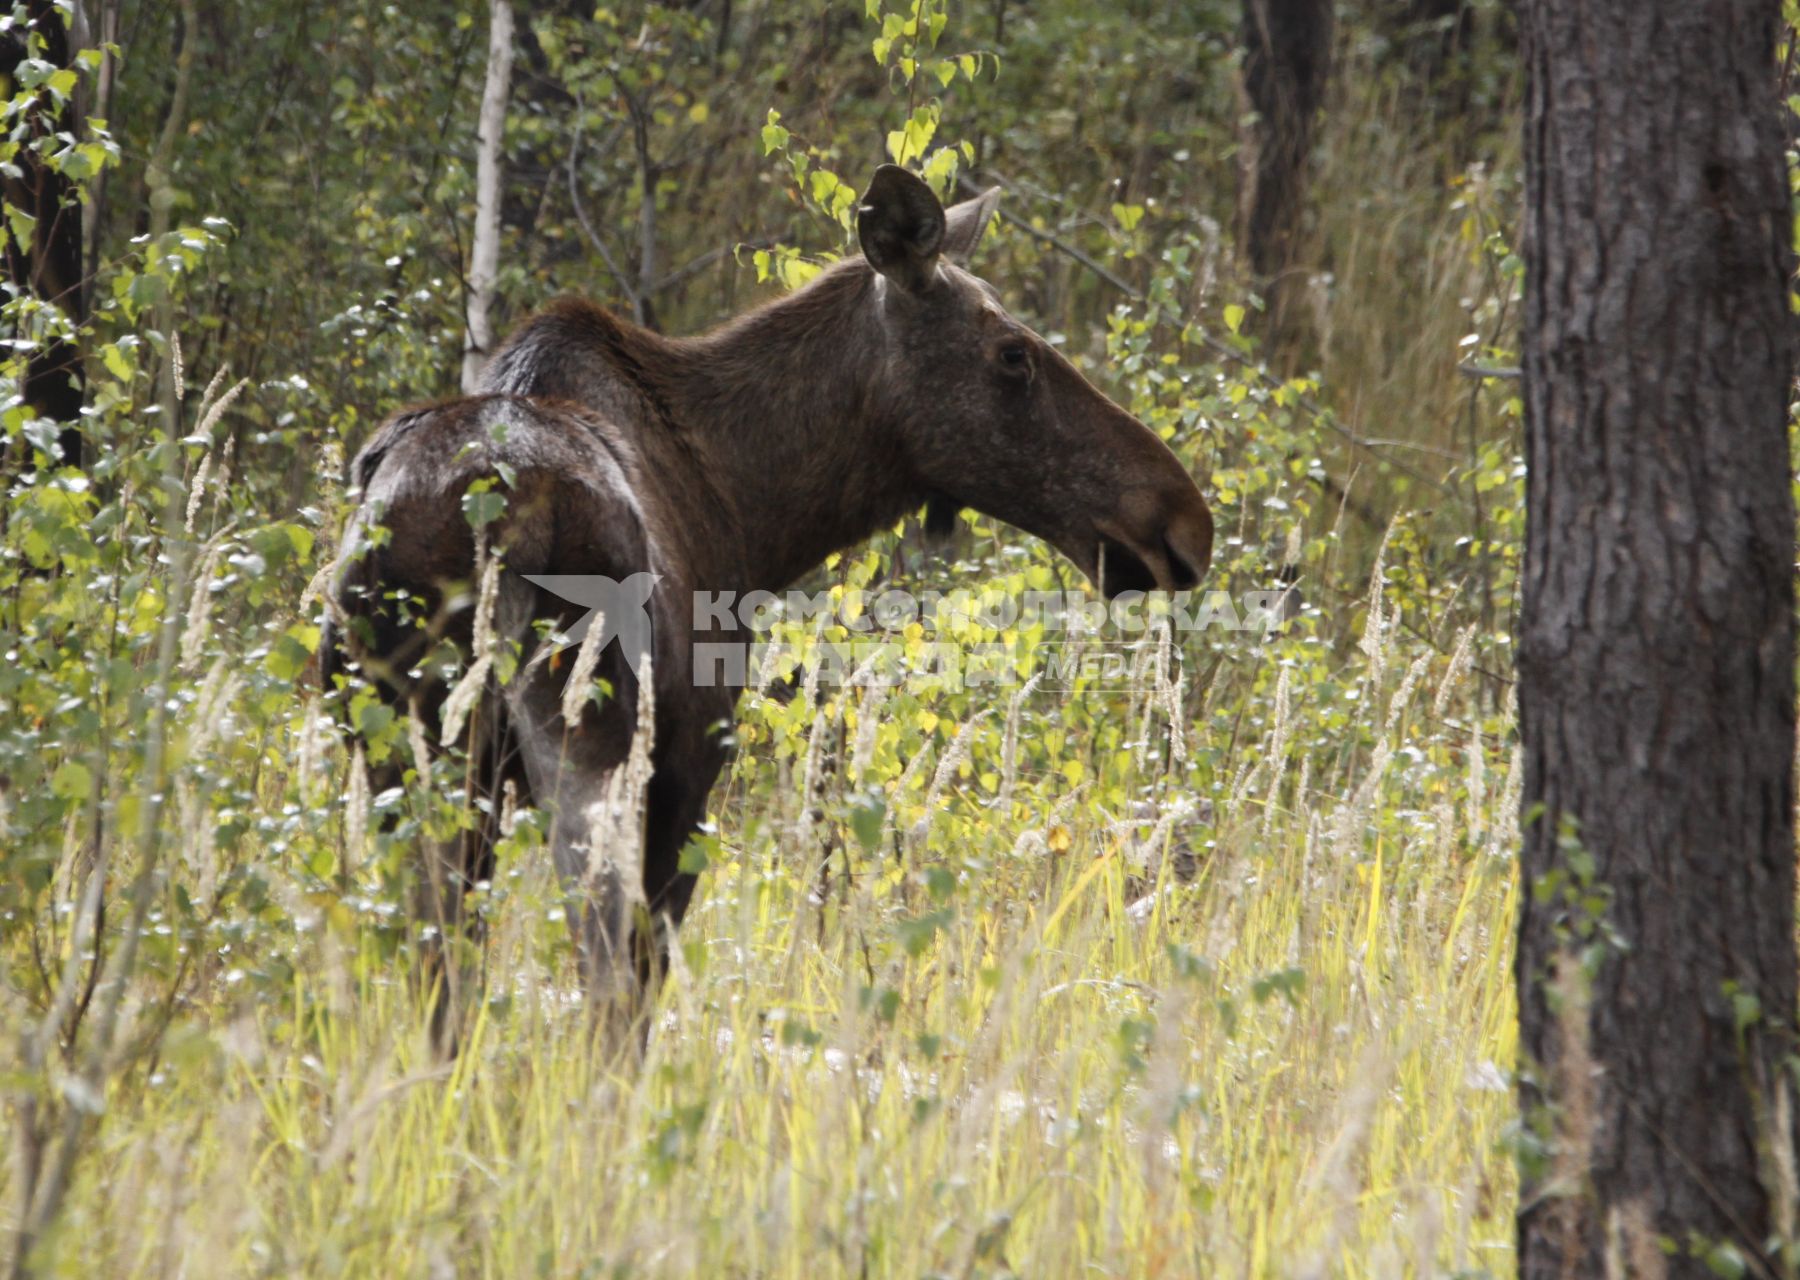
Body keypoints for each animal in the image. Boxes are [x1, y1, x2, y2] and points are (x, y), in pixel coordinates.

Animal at [331, 167, 1216, 1051]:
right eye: (1013, 354)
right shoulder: (688, 774)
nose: (1183, 519)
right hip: (591, 739)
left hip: (410, 755)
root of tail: (494, 506)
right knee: (601, 968)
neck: (753, 511)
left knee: (441, 969)